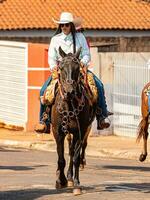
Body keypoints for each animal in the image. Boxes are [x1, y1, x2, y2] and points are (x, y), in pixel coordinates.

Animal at [50, 47, 97, 195]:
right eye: (61, 67)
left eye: (77, 68)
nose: (69, 91)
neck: (69, 105)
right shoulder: (58, 132)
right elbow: (61, 158)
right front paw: (60, 181)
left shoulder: (79, 132)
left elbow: (75, 157)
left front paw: (76, 184)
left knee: (74, 151)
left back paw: (72, 176)